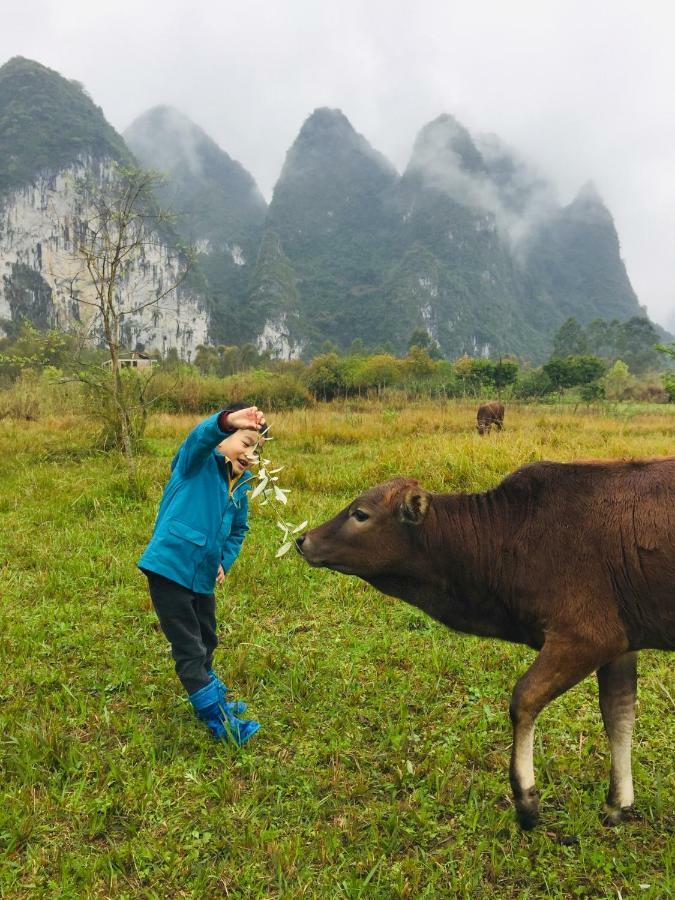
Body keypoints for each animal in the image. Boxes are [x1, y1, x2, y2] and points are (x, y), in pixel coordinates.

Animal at [298, 458, 675, 828]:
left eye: (360, 514)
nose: (303, 540)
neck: (508, 534)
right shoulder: (623, 642)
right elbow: (618, 714)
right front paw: (618, 803)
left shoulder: (588, 636)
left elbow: (524, 698)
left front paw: (526, 800)